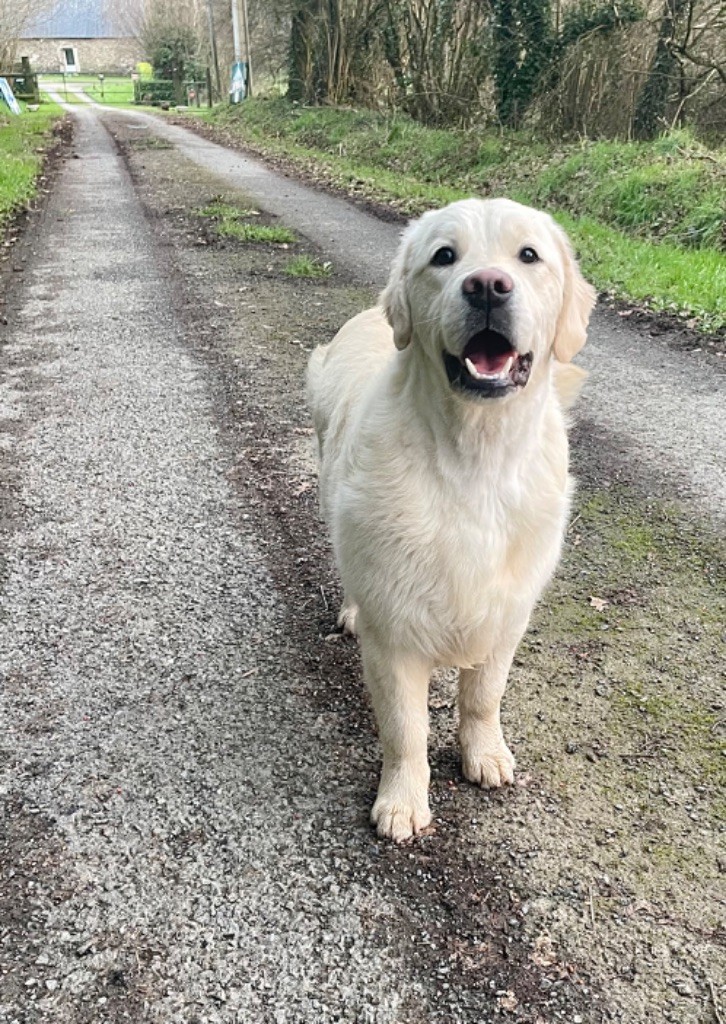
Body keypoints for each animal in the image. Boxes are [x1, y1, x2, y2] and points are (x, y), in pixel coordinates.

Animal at [305, 193, 593, 839]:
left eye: (528, 255)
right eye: (444, 256)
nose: (487, 286)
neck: (473, 459)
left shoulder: (506, 615)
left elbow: (484, 697)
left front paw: (484, 754)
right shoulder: (395, 634)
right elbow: (405, 729)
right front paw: (403, 800)